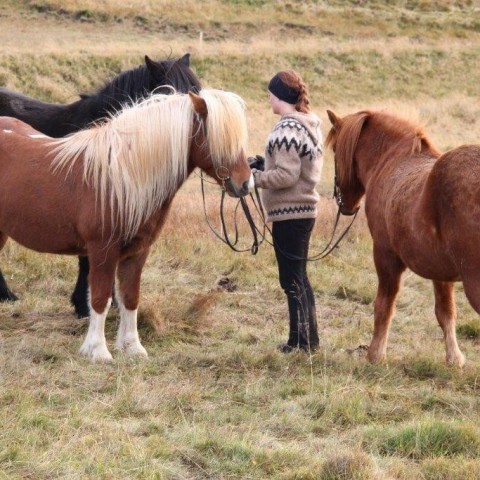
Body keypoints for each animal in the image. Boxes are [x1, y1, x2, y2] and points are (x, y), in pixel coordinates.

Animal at [0, 89, 253, 360]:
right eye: (217, 137)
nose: (245, 184)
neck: (119, 179)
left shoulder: (138, 252)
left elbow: (130, 297)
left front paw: (132, 347)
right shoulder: (101, 251)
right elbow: (100, 298)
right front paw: (97, 350)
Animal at [324, 109, 480, 366]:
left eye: (336, 150)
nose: (344, 204)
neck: (393, 161)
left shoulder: (385, 257)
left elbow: (384, 306)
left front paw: (375, 355)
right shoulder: (440, 271)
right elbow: (446, 312)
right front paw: (454, 359)